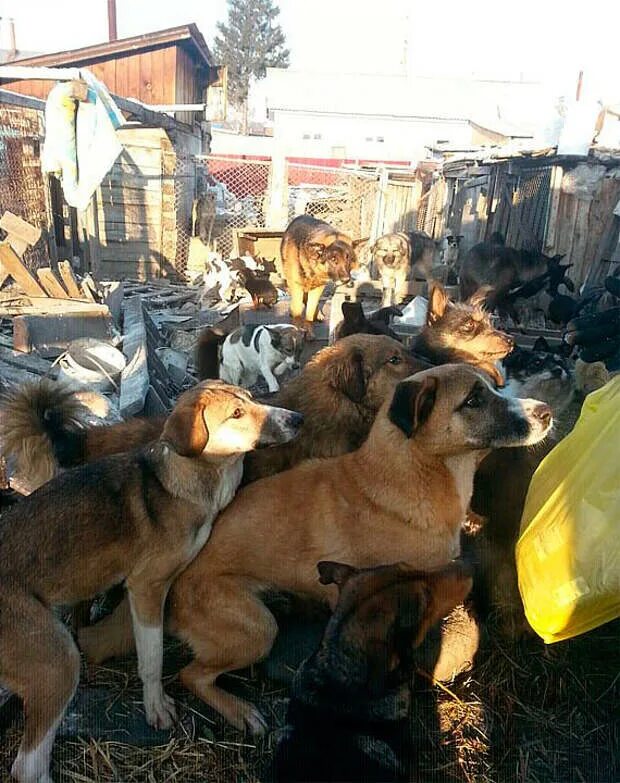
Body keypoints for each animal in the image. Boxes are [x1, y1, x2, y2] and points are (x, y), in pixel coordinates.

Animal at [0, 382, 302, 783]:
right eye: (236, 413)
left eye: (252, 399)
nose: (298, 419)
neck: (187, 478)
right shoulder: (147, 588)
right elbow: (152, 657)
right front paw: (156, 706)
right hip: (56, 662)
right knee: (26, 766)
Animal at [78, 366, 552, 736]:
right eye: (474, 399)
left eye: (494, 386)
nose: (545, 412)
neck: (409, 475)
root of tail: (171, 580)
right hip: (256, 629)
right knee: (189, 673)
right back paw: (240, 711)